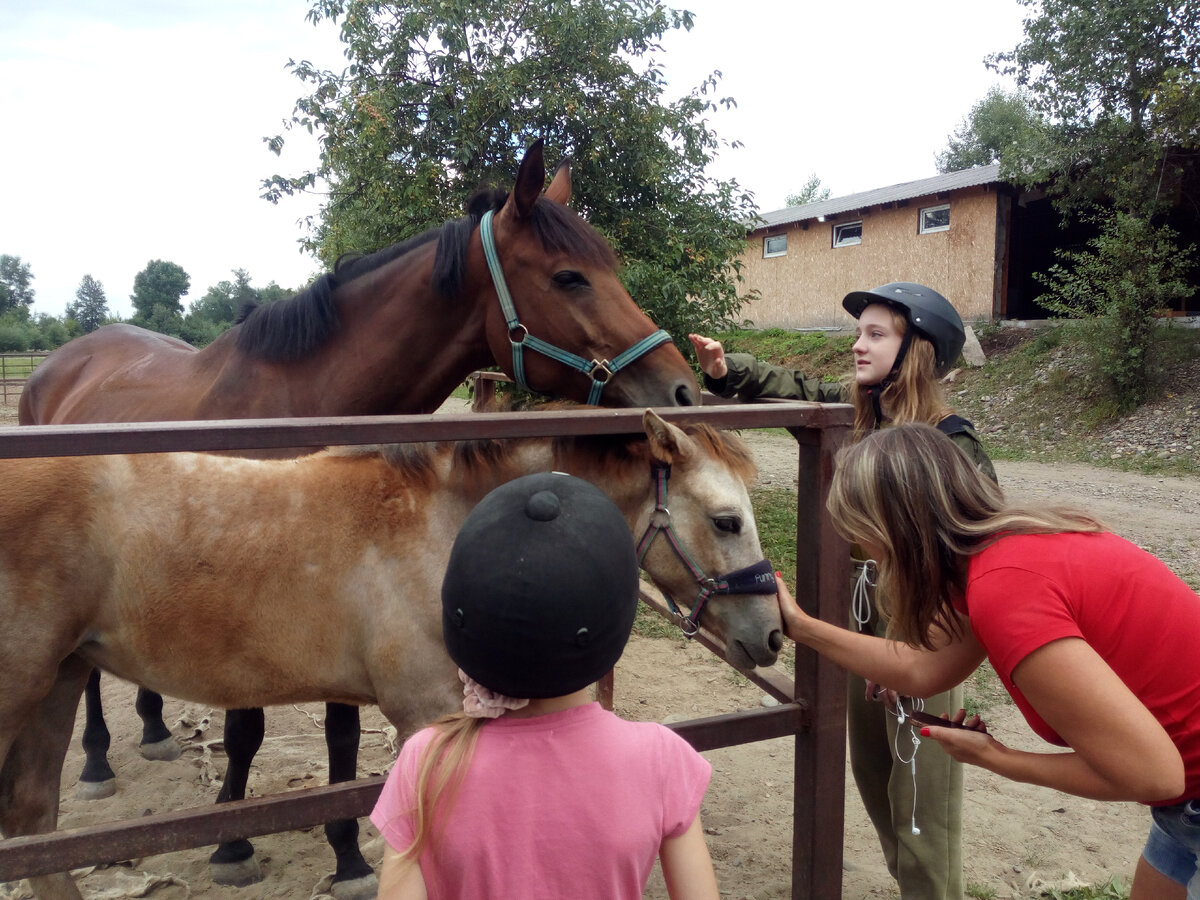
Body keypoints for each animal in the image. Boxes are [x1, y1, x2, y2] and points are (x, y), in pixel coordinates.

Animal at [0, 415, 782, 900]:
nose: (773, 634)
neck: (453, 524)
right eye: (726, 521)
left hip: (59, 681)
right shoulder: (426, 718)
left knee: (34, 822)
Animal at [14, 139, 700, 897]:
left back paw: (156, 728)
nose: (683, 389)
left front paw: (346, 854)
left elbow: (340, 732)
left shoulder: (337, 581)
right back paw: (98, 760)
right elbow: (245, 728)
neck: (303, 403)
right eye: (569, 276)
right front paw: (232, 842)